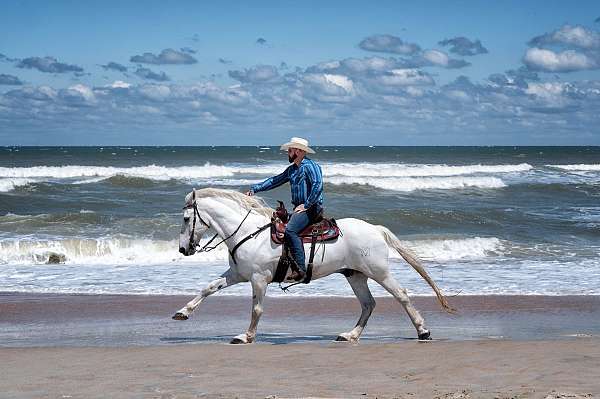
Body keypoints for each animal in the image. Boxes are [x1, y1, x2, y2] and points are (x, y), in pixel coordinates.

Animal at [175, 189, 454, 346]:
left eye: (187, 219)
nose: (183, 249)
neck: (249, 233)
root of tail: (375, 229)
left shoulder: (258, 278)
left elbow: (256, 309)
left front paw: (246, 336)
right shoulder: (238, 274)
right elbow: (209, 288)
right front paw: (182, 312)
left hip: (379, 272)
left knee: (402, 295)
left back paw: (423, 331)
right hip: (356, 275)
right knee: (368, 304)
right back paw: (350, 335)